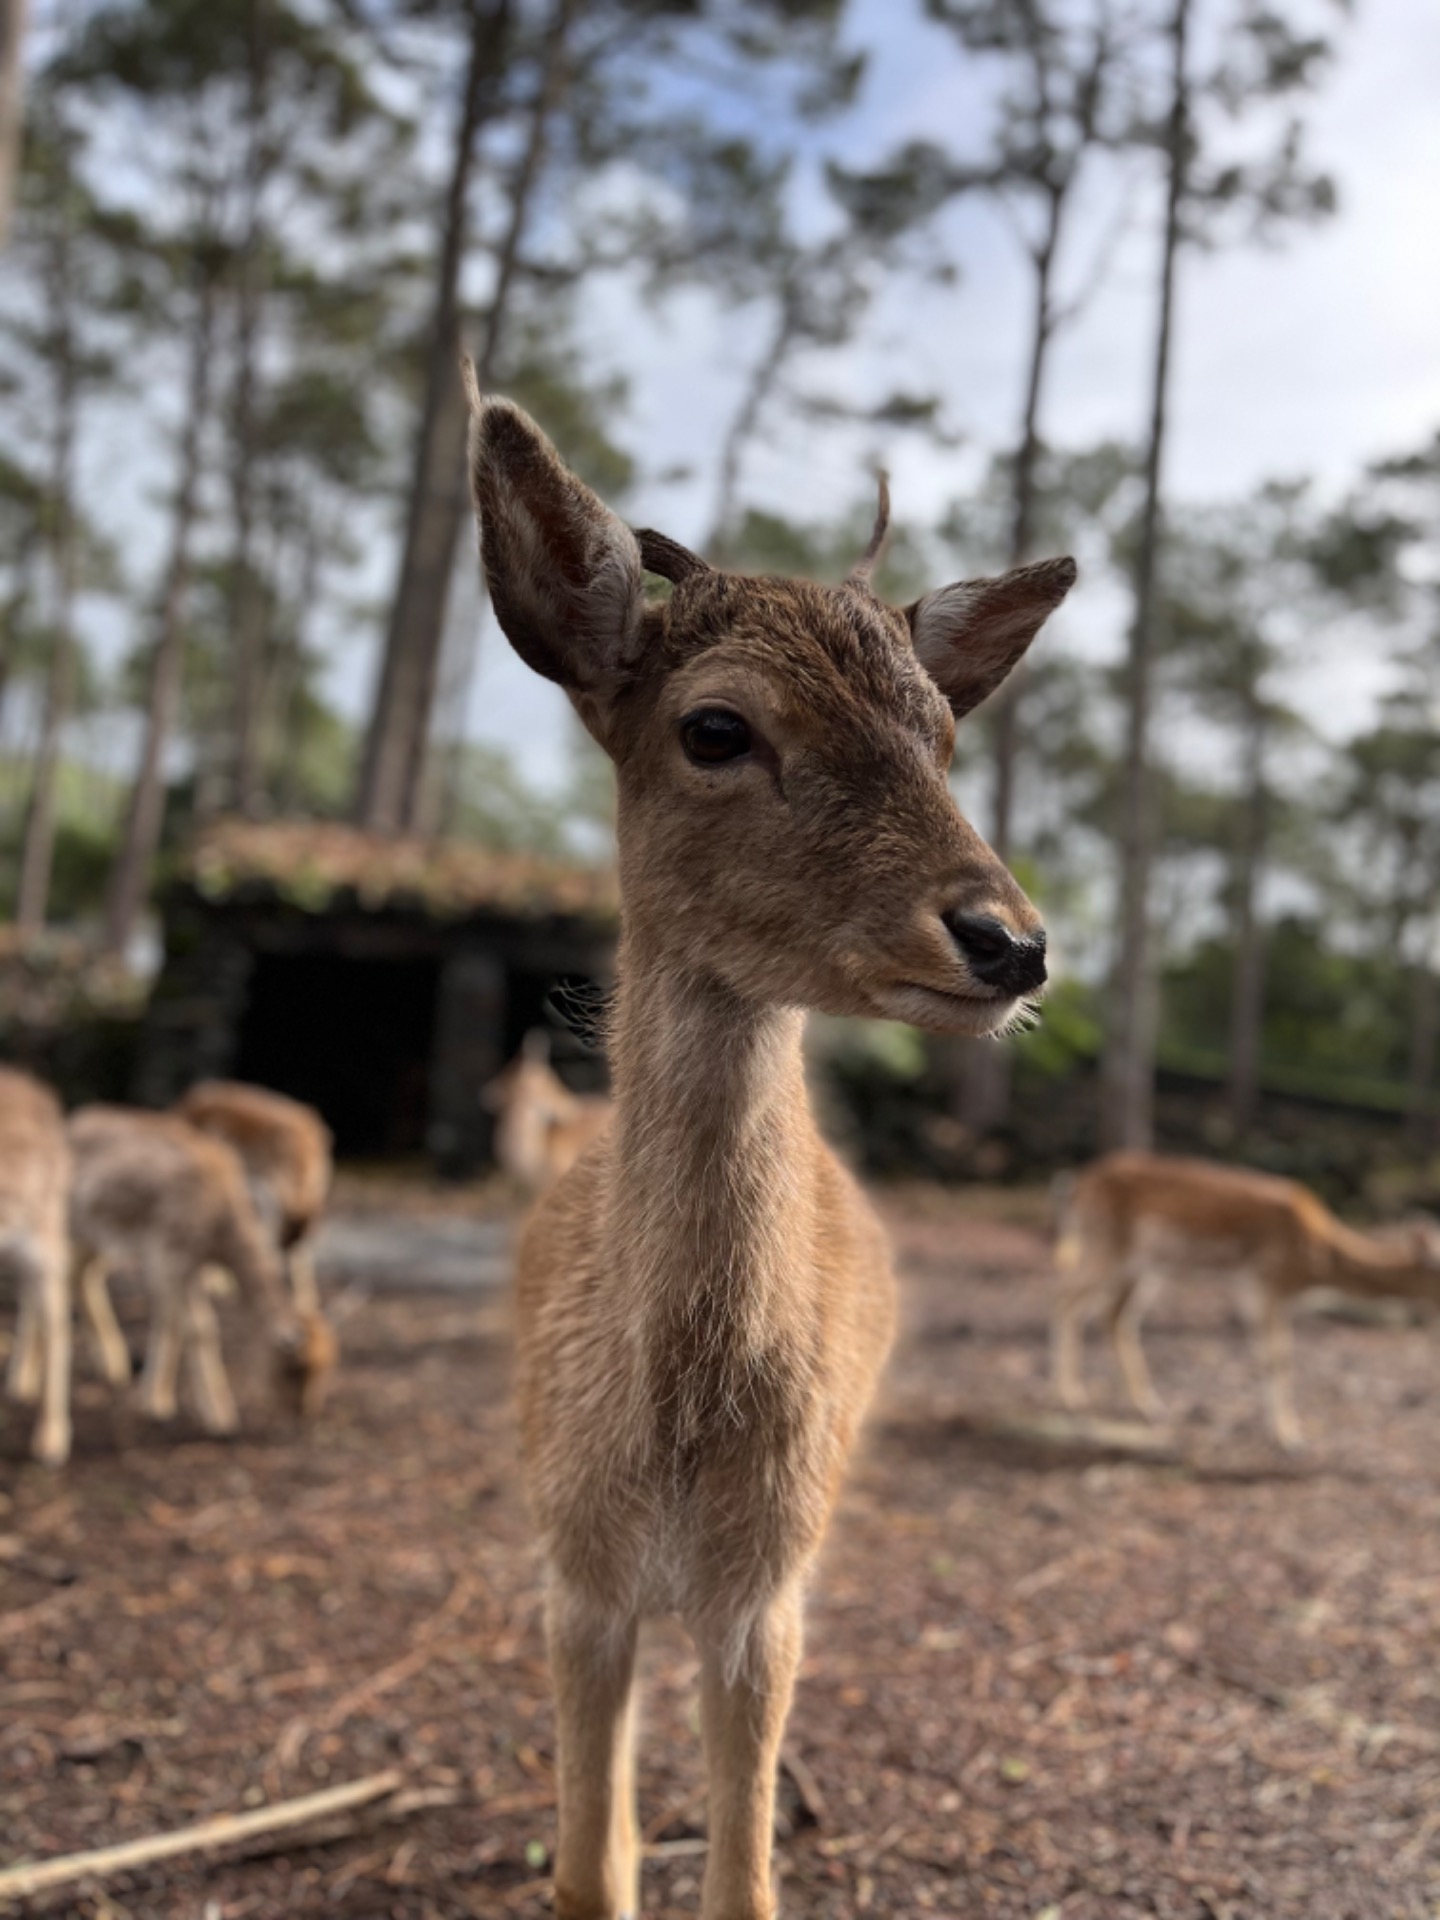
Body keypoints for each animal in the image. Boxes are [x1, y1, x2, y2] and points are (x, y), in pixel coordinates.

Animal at [68, 1106, 335, 1435]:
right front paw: (209, 1414)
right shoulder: (170, 1256)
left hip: (95, 1238)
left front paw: (167, 1402)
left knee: (82, 1275)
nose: (304, 1411)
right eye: (296, 1370)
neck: (220, 1232)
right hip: (72, 1226)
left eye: (326, 1368)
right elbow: (193, 1327)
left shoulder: (191, 1264)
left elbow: (184, 1324)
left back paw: (110, 1364)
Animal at [1051, 1150, 1440, 1451]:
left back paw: (1148, 1405)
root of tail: (1076, 1186)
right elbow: (1277, 1358)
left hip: (1143, 1267)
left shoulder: (1268, 1292)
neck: (1313, 1265)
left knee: (1115, 1315)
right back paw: (1071, 1396)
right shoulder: (1266, 1282)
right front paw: (1288, 1437)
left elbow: (1276, 1355)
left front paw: (1287, 1431)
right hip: (1105, 1242)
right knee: (1067, 1297)